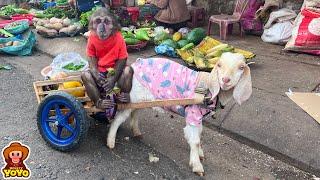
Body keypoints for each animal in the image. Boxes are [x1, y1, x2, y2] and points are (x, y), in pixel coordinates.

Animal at [106, 52, 251, 176]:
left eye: (241, 67)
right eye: (219, 65)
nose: (225, 80)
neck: (210, 91)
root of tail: (134, 65)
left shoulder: (198, 118)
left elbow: (199, 135)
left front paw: (200, 154)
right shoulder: (193, 113)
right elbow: (195, 141)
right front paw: (197, 166)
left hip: (142, 99)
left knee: (135, 112)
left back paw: (136, 132)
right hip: (132, 96)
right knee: (119, 118)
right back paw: (111, 142)